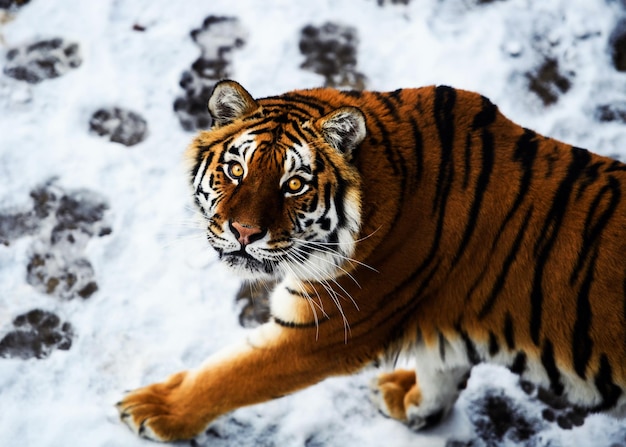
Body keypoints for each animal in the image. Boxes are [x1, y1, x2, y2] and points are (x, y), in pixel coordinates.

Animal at [116, 79, 624, 440]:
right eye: (236, 170)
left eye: (294, 185)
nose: (243, 232)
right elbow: (442, 370)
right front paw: (412, 402)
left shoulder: (322, 331)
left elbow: (228, 375)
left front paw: (154, 412)